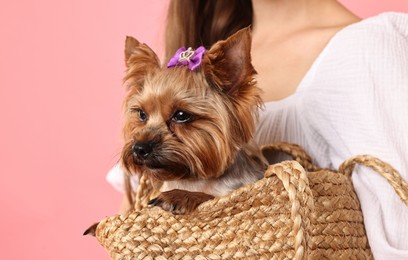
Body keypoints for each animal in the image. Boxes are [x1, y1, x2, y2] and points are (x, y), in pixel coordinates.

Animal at [120, 27, 268, 215]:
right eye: (142, 114)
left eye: (181, 115)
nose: (139, 148)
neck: (189, 180)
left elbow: (210, 197)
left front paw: (178, 196)